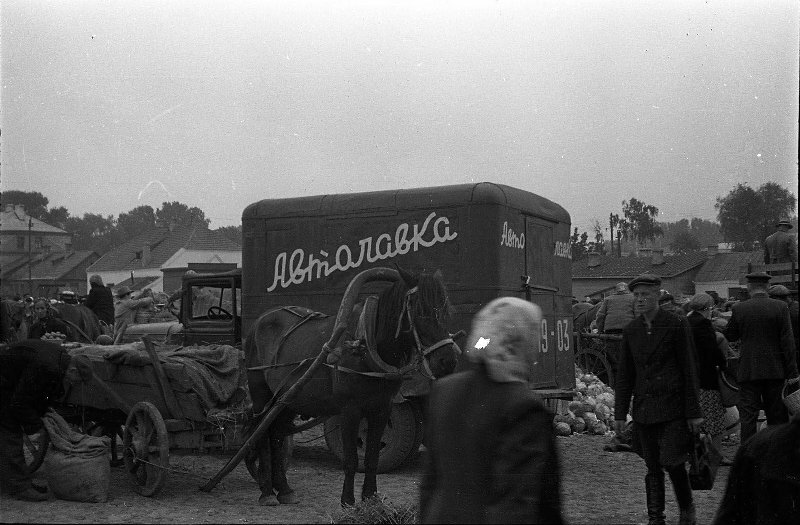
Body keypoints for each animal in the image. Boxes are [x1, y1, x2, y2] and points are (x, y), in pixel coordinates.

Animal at [244, 268, 460, 506]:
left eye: (446, 310)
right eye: (420, 311)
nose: (447, 360)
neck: (365, 347)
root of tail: (260, 320)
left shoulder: (382, 409)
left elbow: (372, 456)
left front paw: (370, 498)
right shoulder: (349, 410)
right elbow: (351, 459)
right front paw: (347, 500)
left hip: (288, 399)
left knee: (276, 435)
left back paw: (283, 489)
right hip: (261, 395)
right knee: (262, 436)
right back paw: (266, 492)